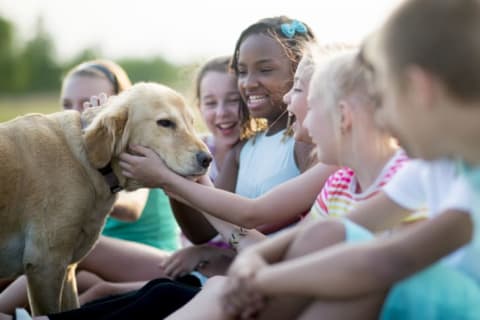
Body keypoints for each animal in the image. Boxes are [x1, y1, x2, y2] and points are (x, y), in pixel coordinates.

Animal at [0, 82, 212, 316]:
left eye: (191, 122)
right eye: (165, 123)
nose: (207, 159)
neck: (88, 160)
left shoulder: (65, 269)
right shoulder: (45, 266)